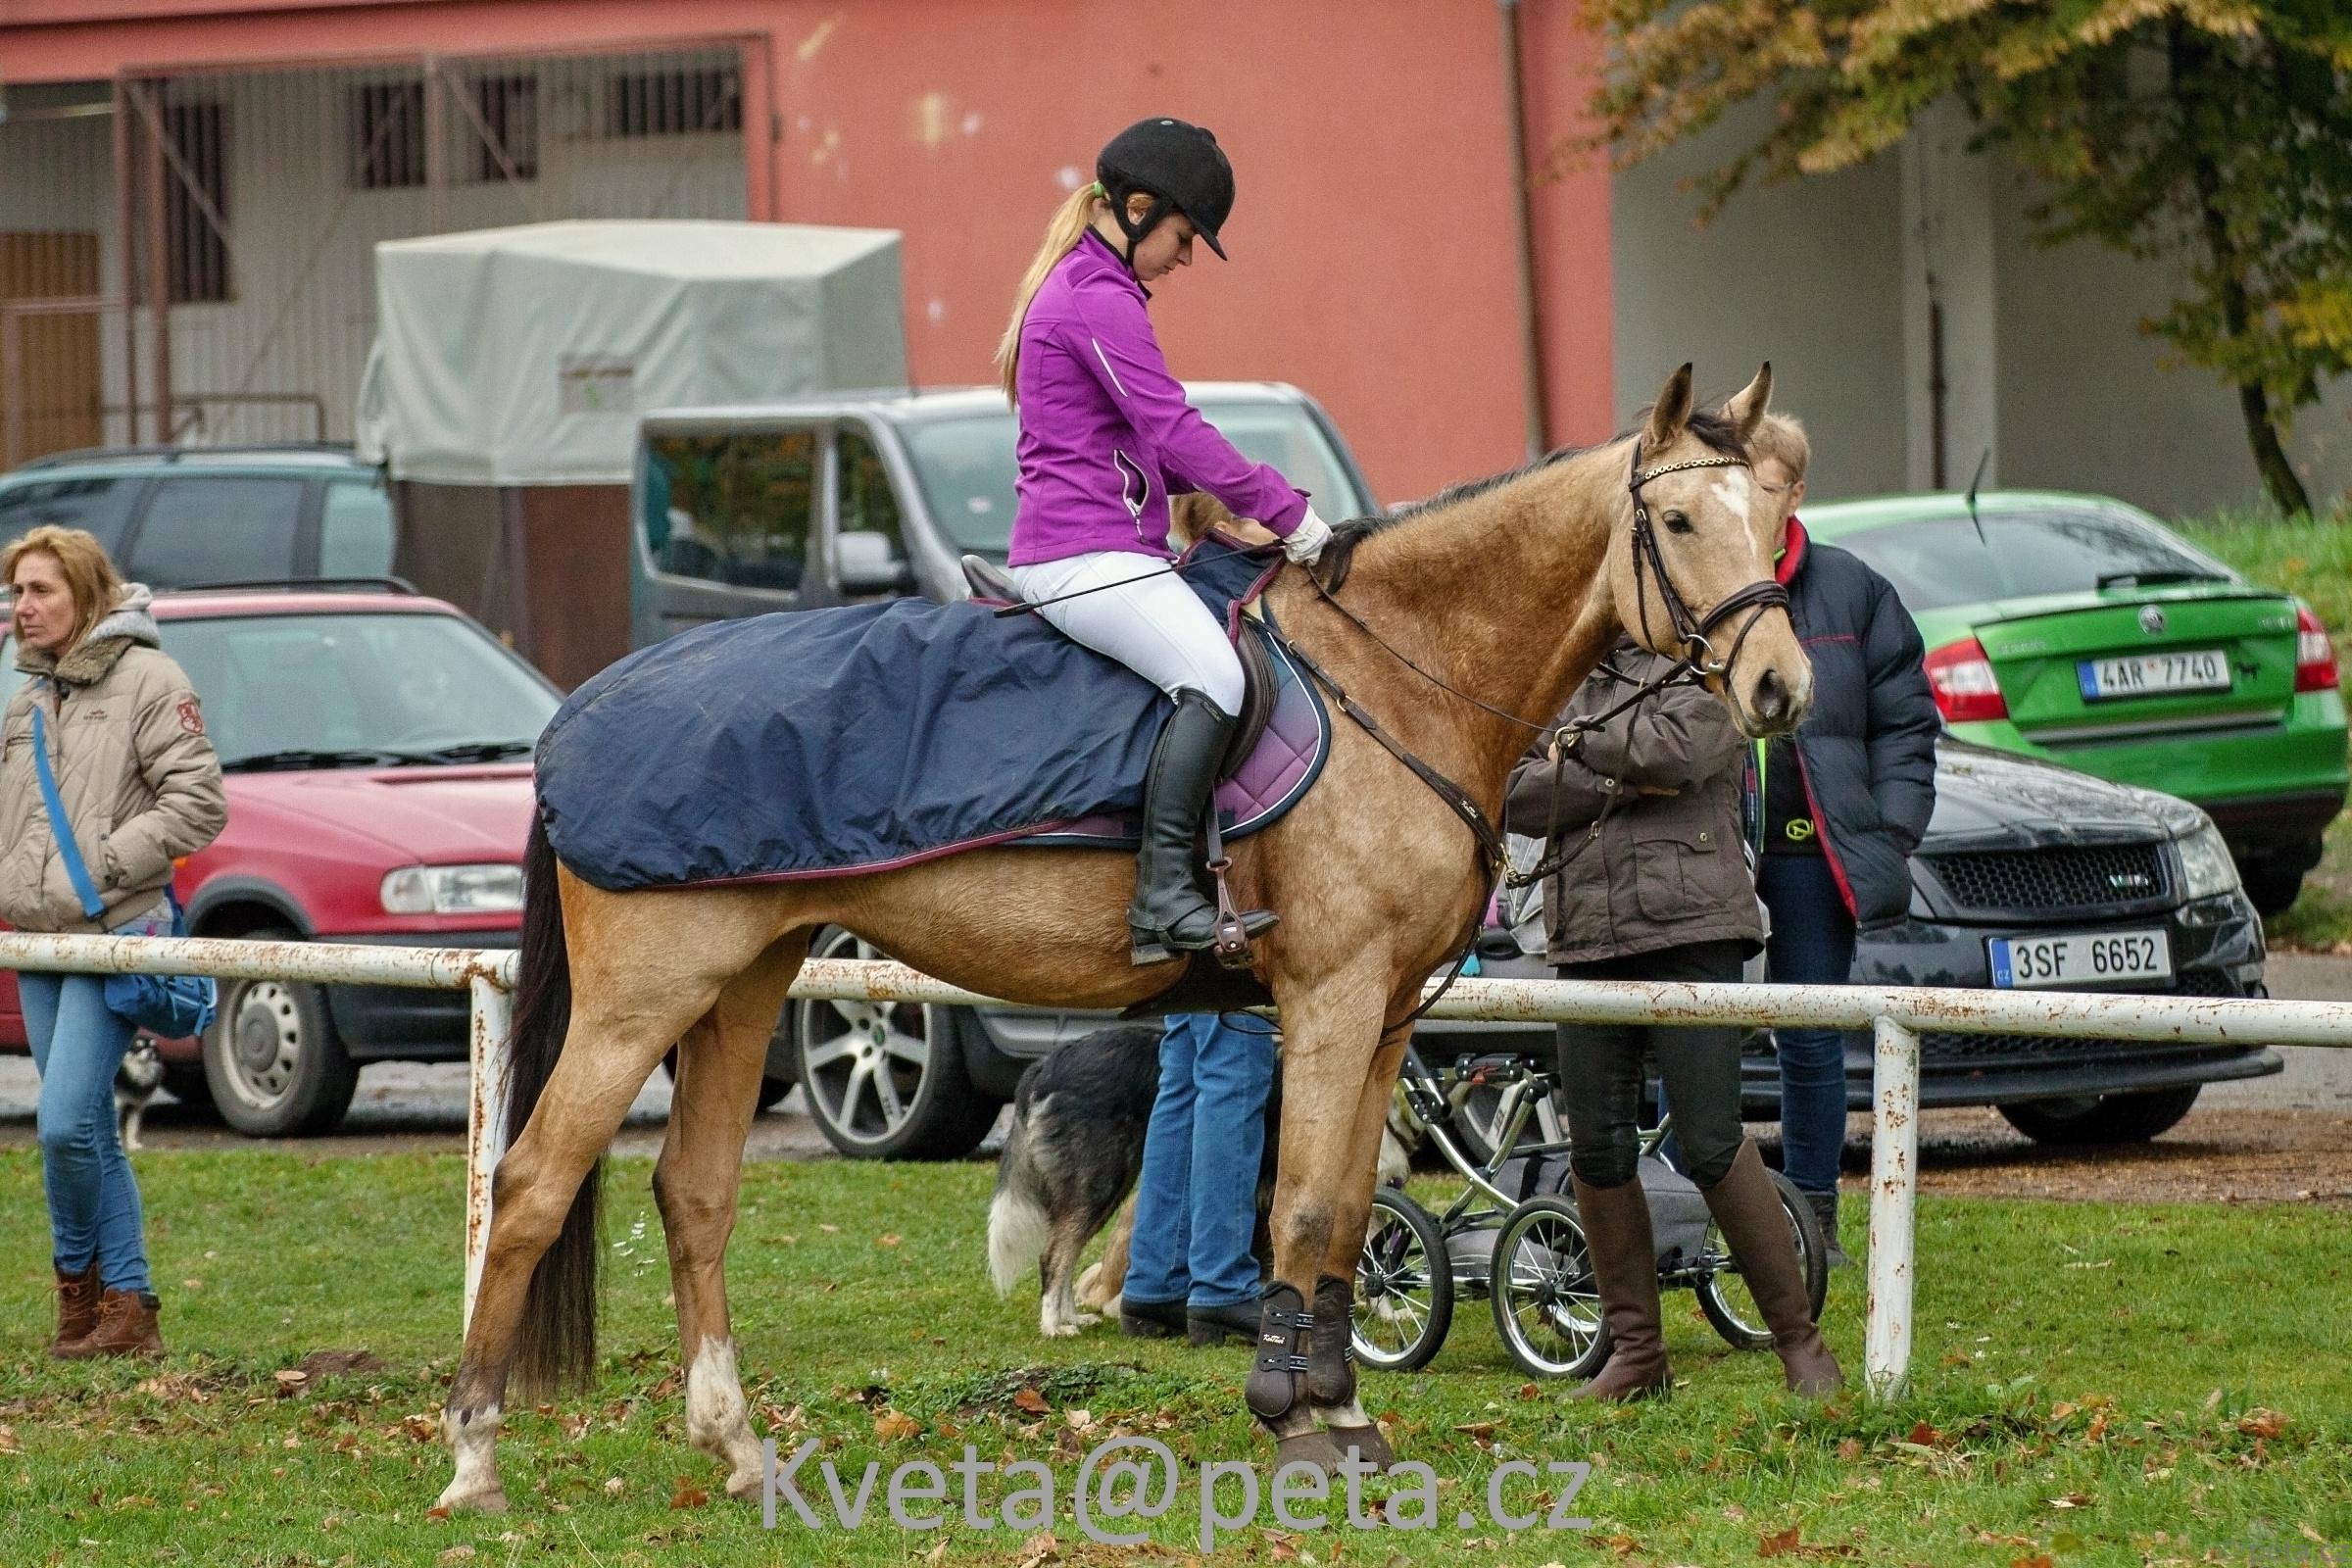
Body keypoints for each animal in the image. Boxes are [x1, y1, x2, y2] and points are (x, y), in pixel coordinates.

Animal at [988, 1022, 1408, 1338]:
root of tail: (1045, 1064)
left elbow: (1372, 1259)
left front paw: (1386, 1312)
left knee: (1069, 1252)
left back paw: (1072, 1317)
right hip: (1101, 1179)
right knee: (1054, 1254)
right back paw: (1053, 1326)